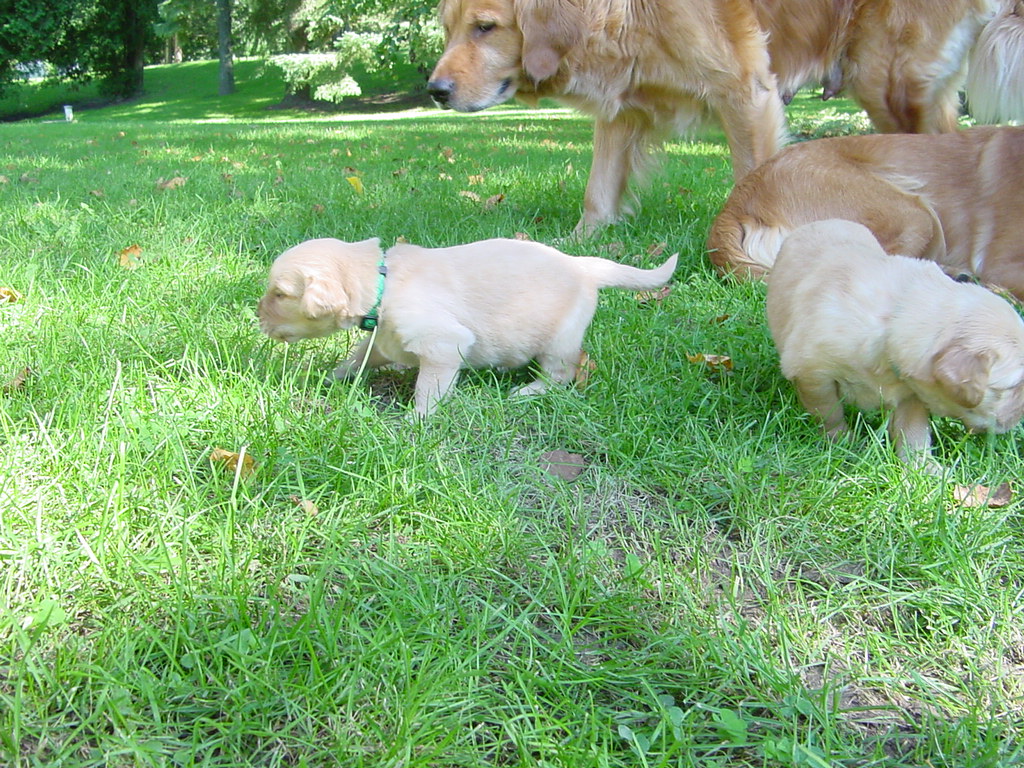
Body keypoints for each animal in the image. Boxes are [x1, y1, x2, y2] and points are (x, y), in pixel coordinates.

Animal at [425, 0, 1024, 234]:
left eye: (486, 27)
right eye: (449, 28)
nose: (434, 90)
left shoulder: (746, 91)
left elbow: (752, 178)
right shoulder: (624, 109)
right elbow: (599, 189)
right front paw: (581, 241)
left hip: (887, 81)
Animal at [765, 218, 1024, 468]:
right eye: (1014, 387)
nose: (1021, 415)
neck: (895, 315)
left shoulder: (912, 392)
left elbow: (913, 430)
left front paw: (922, 467)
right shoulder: (813, 372)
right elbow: (829, 412)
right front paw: (841, 442)